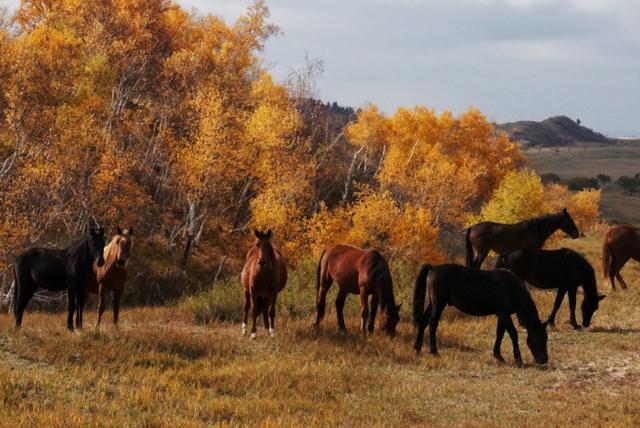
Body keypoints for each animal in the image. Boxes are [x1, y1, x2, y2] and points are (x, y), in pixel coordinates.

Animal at [416, 264, 552, 368]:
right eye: (540, 338)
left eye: (546, 338)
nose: (544, 360)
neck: (513, 289)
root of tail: (433, 268)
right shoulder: (504, 315)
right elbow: (513, 334)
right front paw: (518, 359)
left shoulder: (502, 315)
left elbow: (500, 334)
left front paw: (498, 355)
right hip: (438, 304)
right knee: (433, 324)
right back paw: (434, 352)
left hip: (432, 304)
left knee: (423, 322)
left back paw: (417, 349)